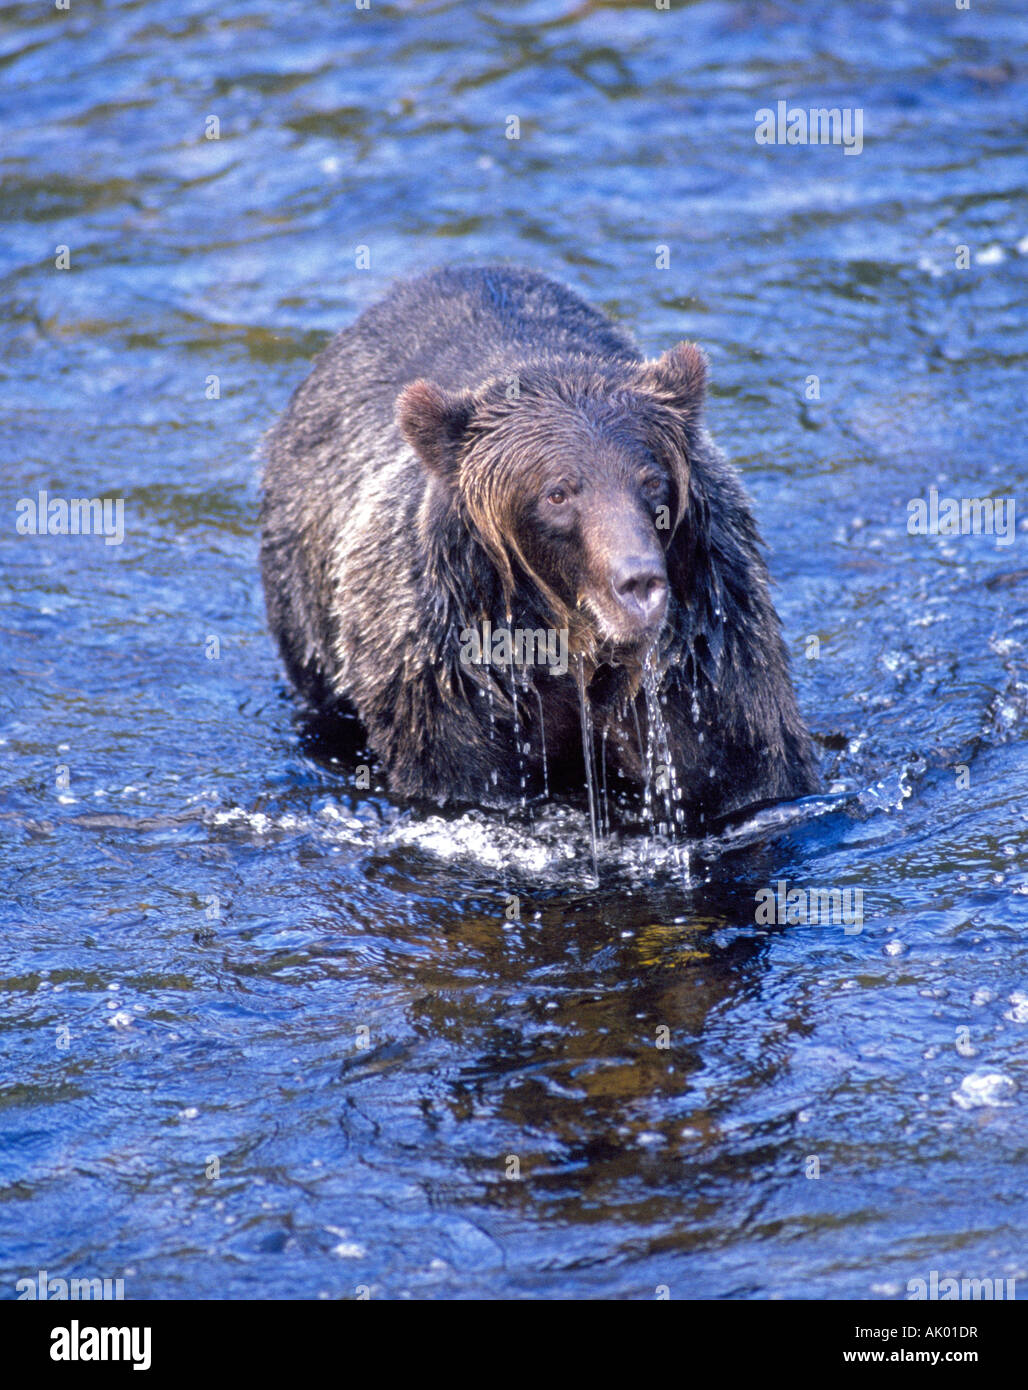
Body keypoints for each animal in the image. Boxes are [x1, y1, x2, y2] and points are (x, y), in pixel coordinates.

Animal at [259, 265, 820, 830]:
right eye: (557, 493)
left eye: (652, 482)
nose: (639, 583)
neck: (571, 644)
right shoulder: (450, 676)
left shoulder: (704, 655)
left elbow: (736, 765)